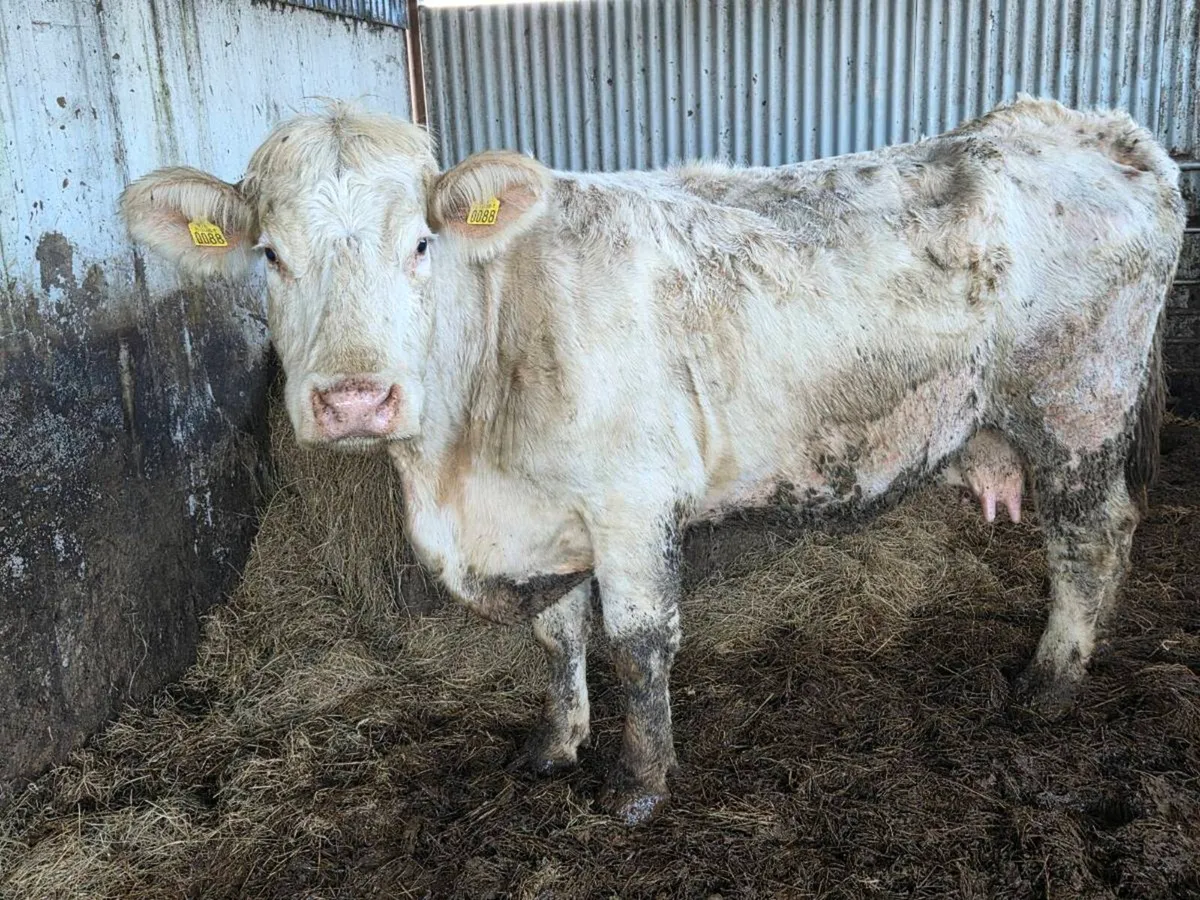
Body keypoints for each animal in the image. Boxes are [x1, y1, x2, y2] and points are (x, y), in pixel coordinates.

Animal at [120, 96, 1184, 824]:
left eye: (422, 242)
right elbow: (555, 637)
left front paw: (638, 783)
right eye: (269, 255)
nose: (351, 398)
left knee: (1091, 541)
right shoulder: (544, 523)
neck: (460, 475)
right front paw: (555, 746)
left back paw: (1047, 687)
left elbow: (638, 640)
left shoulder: (632, 501)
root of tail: (1093, 126)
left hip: (1077, 410)